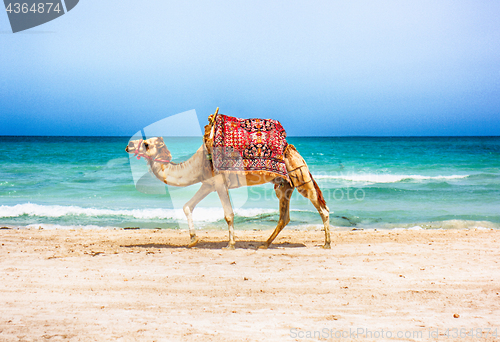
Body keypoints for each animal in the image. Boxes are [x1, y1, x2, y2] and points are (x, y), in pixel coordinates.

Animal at [125, 114, 330, 248]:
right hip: (284, 185)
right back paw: (265, 244)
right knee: (284, 216)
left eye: (146, 144)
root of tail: (291, 148)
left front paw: (230, 244)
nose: (128, 145)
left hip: (299, 175)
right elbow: (187, 206)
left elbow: (229, 214)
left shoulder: (219, 183)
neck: (198, 164)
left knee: (322, 208)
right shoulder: (207, 184)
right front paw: (193, 239)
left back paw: (326, 244)